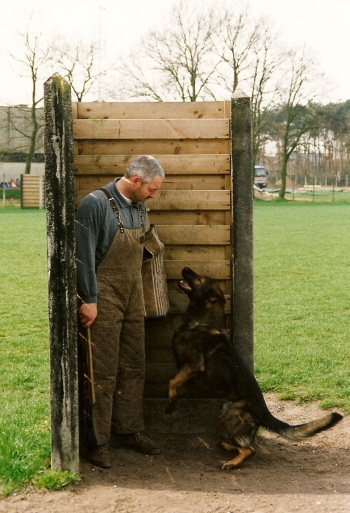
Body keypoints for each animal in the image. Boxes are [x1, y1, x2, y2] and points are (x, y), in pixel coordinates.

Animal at [166, 268, 342, 468]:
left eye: (200, 278)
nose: (185, 268)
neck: (200, 323)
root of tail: (263, 410)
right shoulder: (188, 371)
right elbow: (177, 382)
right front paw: (174, 400)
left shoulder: (195, 366)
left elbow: (172, 381)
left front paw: (169, 406)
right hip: (226, 411)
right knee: (243, 443)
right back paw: (227, 447)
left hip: (228, 418)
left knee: (249, 449)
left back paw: (233, 462)